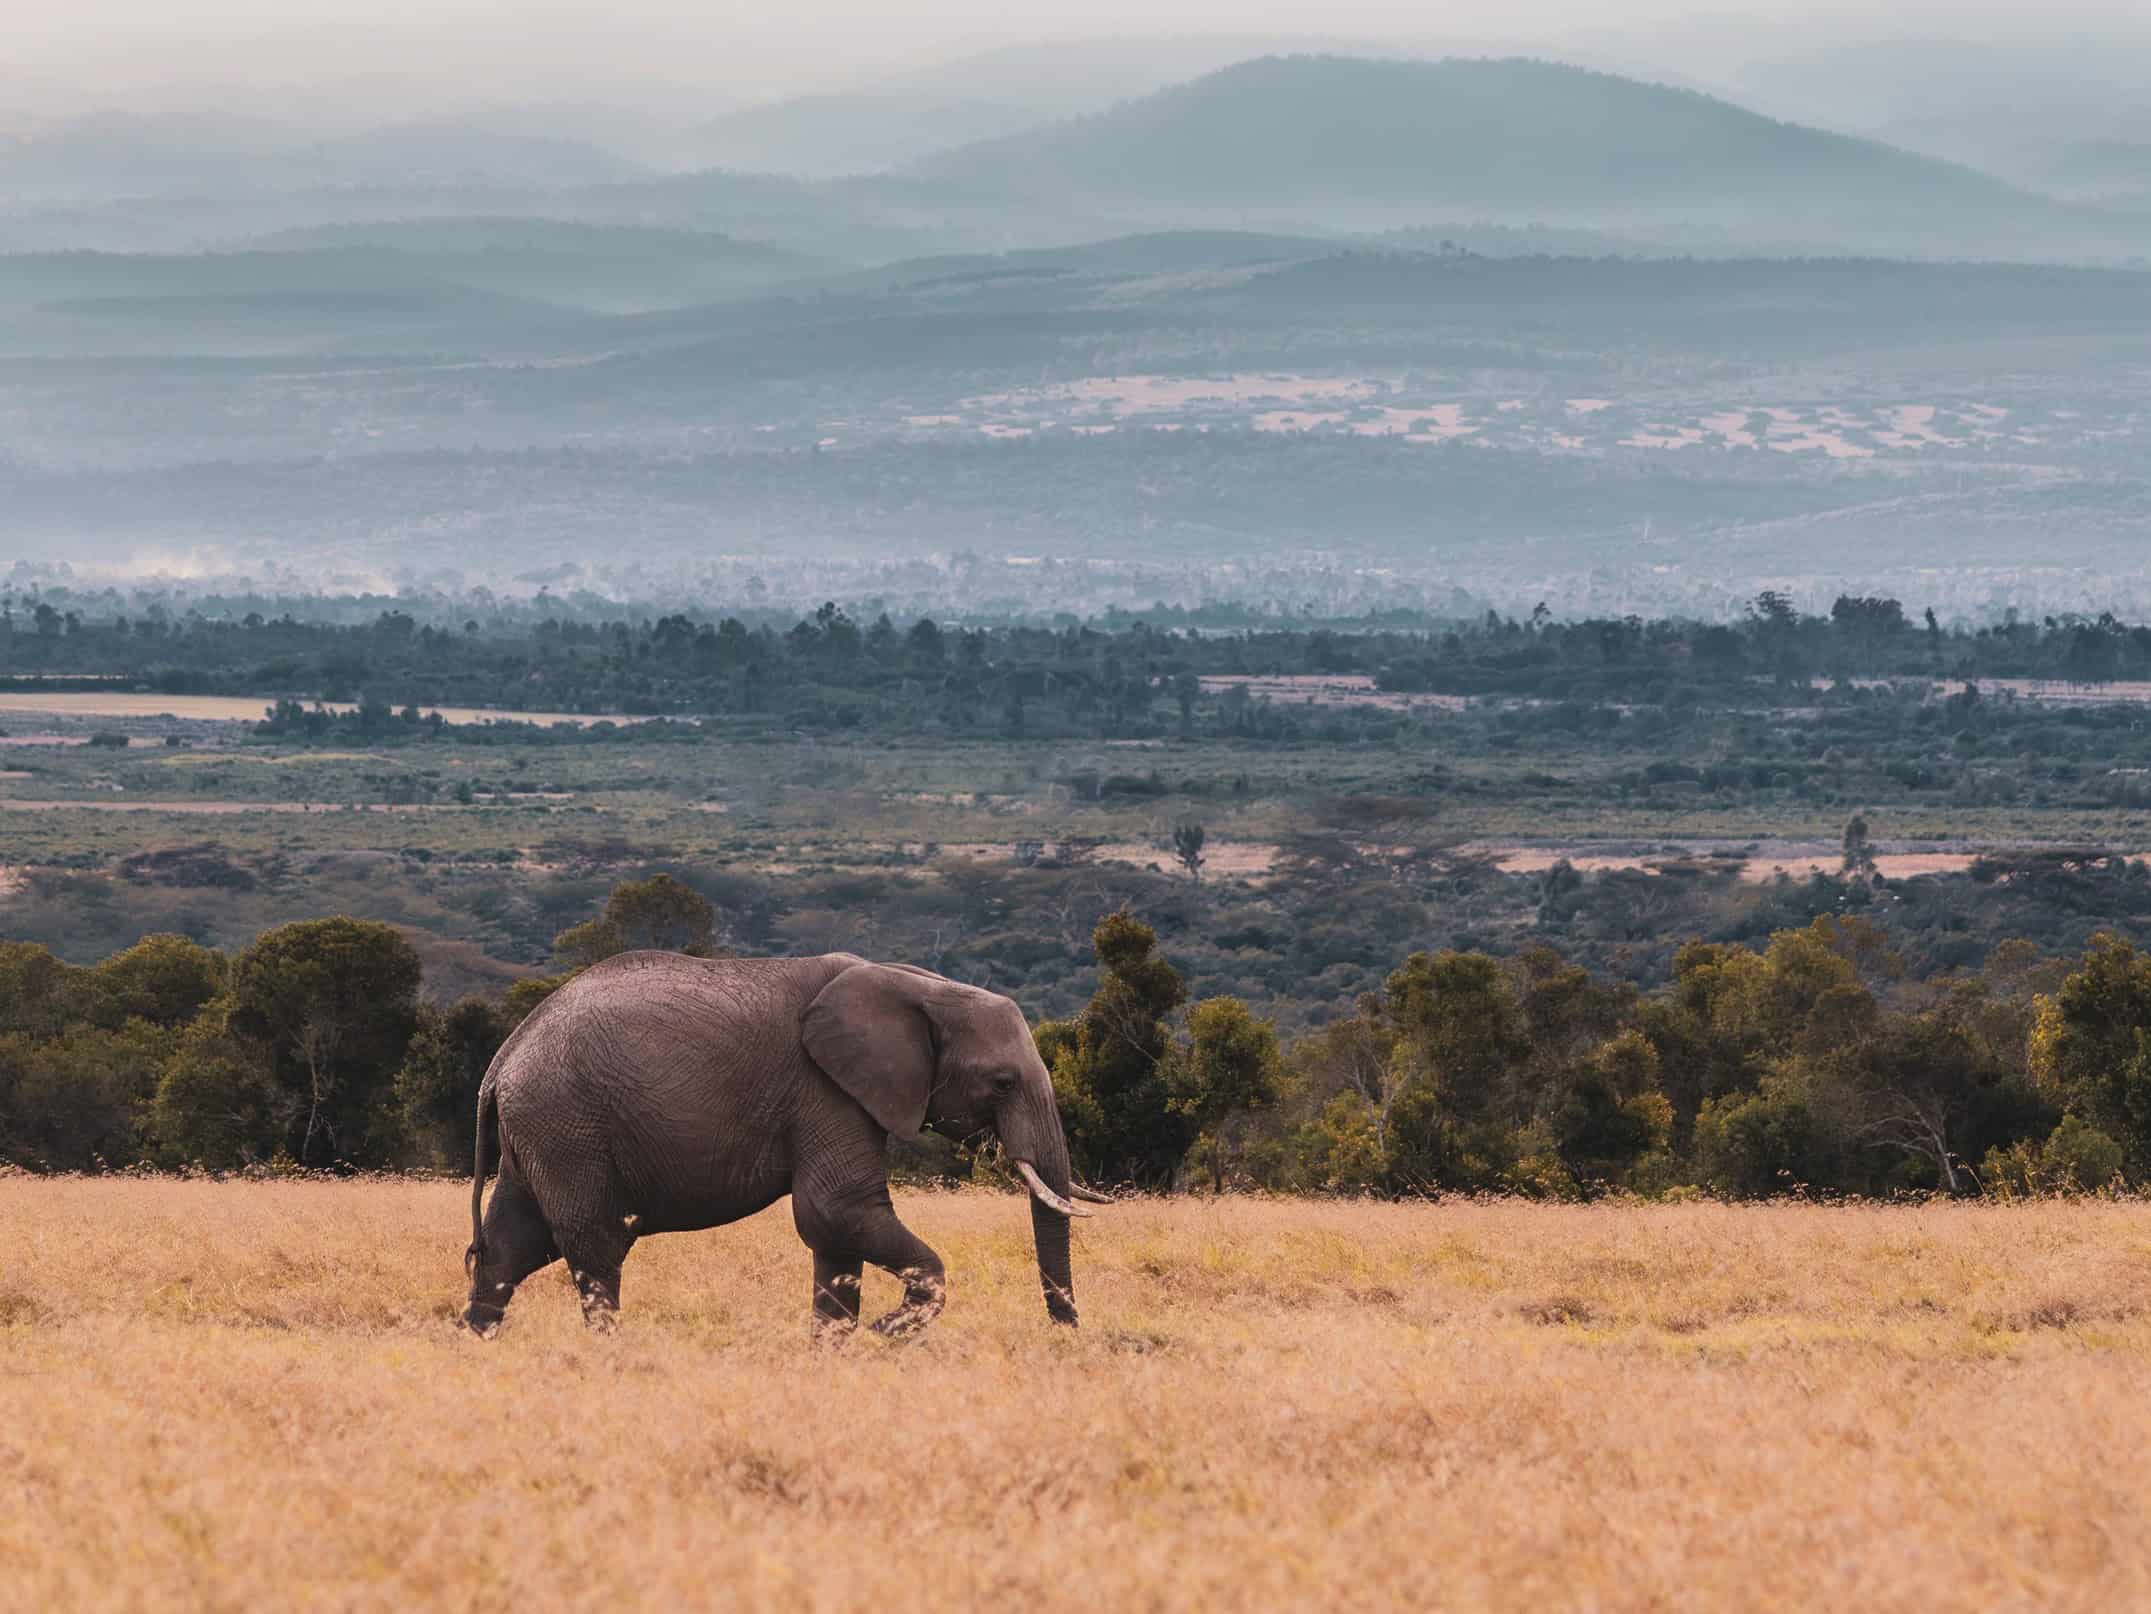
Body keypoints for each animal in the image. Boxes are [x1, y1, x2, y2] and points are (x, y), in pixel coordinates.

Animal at [462, 950, 1107, 1338]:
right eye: (1002, 1083)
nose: (1065, 1335)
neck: (920, 986)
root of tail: (501, 1062)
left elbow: (836, 1233)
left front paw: (839, 1349)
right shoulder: (826, 1089)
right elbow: (836, 1209)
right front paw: (887, 1332)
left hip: (542, 1133)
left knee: (511, 1245)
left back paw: (477, 1345)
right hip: (568, 1126)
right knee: (596, 1247)